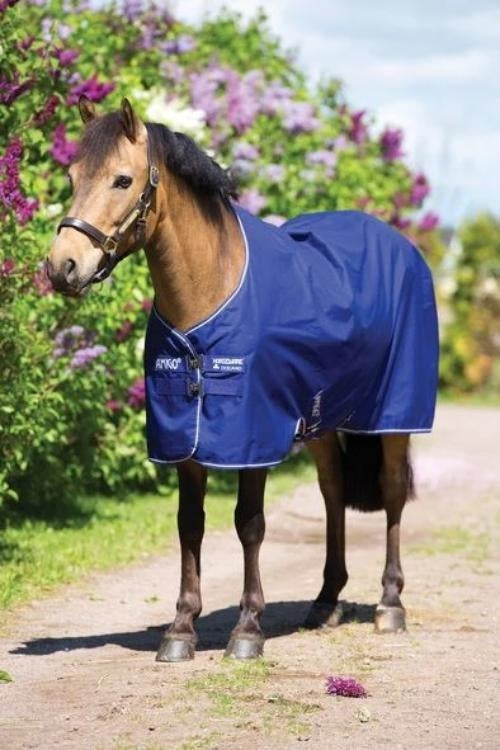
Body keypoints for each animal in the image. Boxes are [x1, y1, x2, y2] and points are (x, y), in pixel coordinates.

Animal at [47, 97, 439, 662]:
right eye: (72, 177)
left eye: (122, 179)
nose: (63, 267)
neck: (210, 291)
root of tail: (401, 246)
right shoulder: (184, 436)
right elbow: (190, 525)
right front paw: (180, 629)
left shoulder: (251, 436)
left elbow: (249, 524)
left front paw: (248, 628)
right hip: (320, 422)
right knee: (333, 492)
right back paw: (325, 601)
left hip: (393, 417)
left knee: (389, 493)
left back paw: (390, 604)